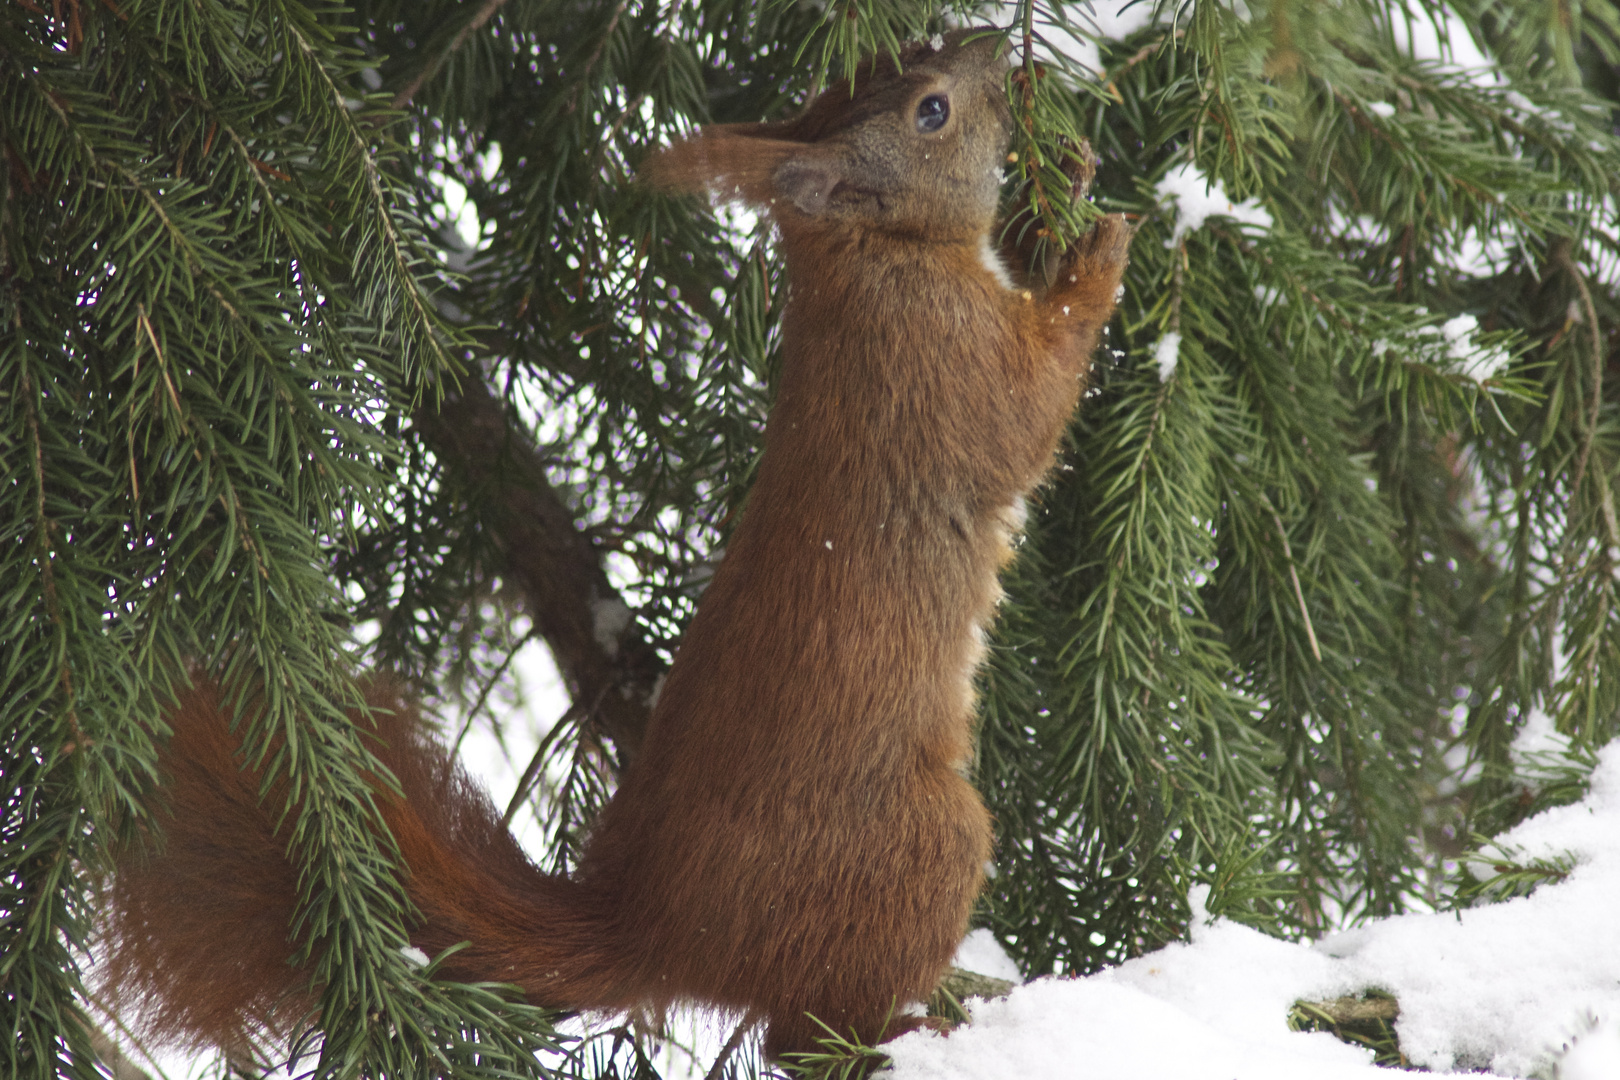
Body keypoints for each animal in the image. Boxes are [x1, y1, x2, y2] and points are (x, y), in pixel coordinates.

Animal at [104, 25, 1127, 1062]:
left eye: (904, 51)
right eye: (931, 111)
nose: (1002, 49)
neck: (867, 253)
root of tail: (661, 932)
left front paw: (1062, 190)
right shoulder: (935, 357)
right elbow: (1030, 409)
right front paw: (1096, 251)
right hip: (925, 843)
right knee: (799, 1035)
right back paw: (927, 1023)